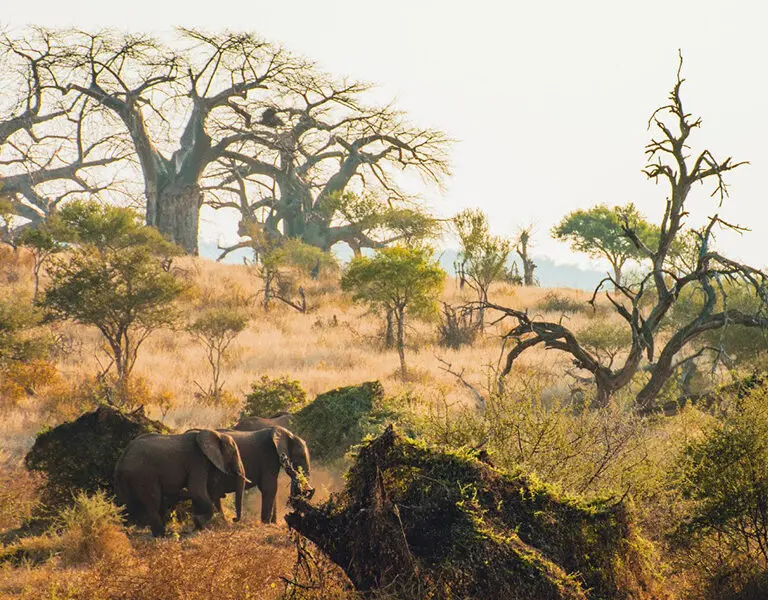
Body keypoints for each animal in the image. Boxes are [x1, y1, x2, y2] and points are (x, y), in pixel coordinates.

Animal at [114, 429, 249, 537]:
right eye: (233, 453)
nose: (234, 519)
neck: (215, 434)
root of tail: (122, 459)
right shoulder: (197, 461)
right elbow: (196, 489)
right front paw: (198, 521)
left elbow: (200, 493)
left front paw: (198, 526)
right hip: (145, 476)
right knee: (153, 503)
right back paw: (162, 535)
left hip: (124, 479)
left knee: (126, 504)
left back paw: (125, 531)